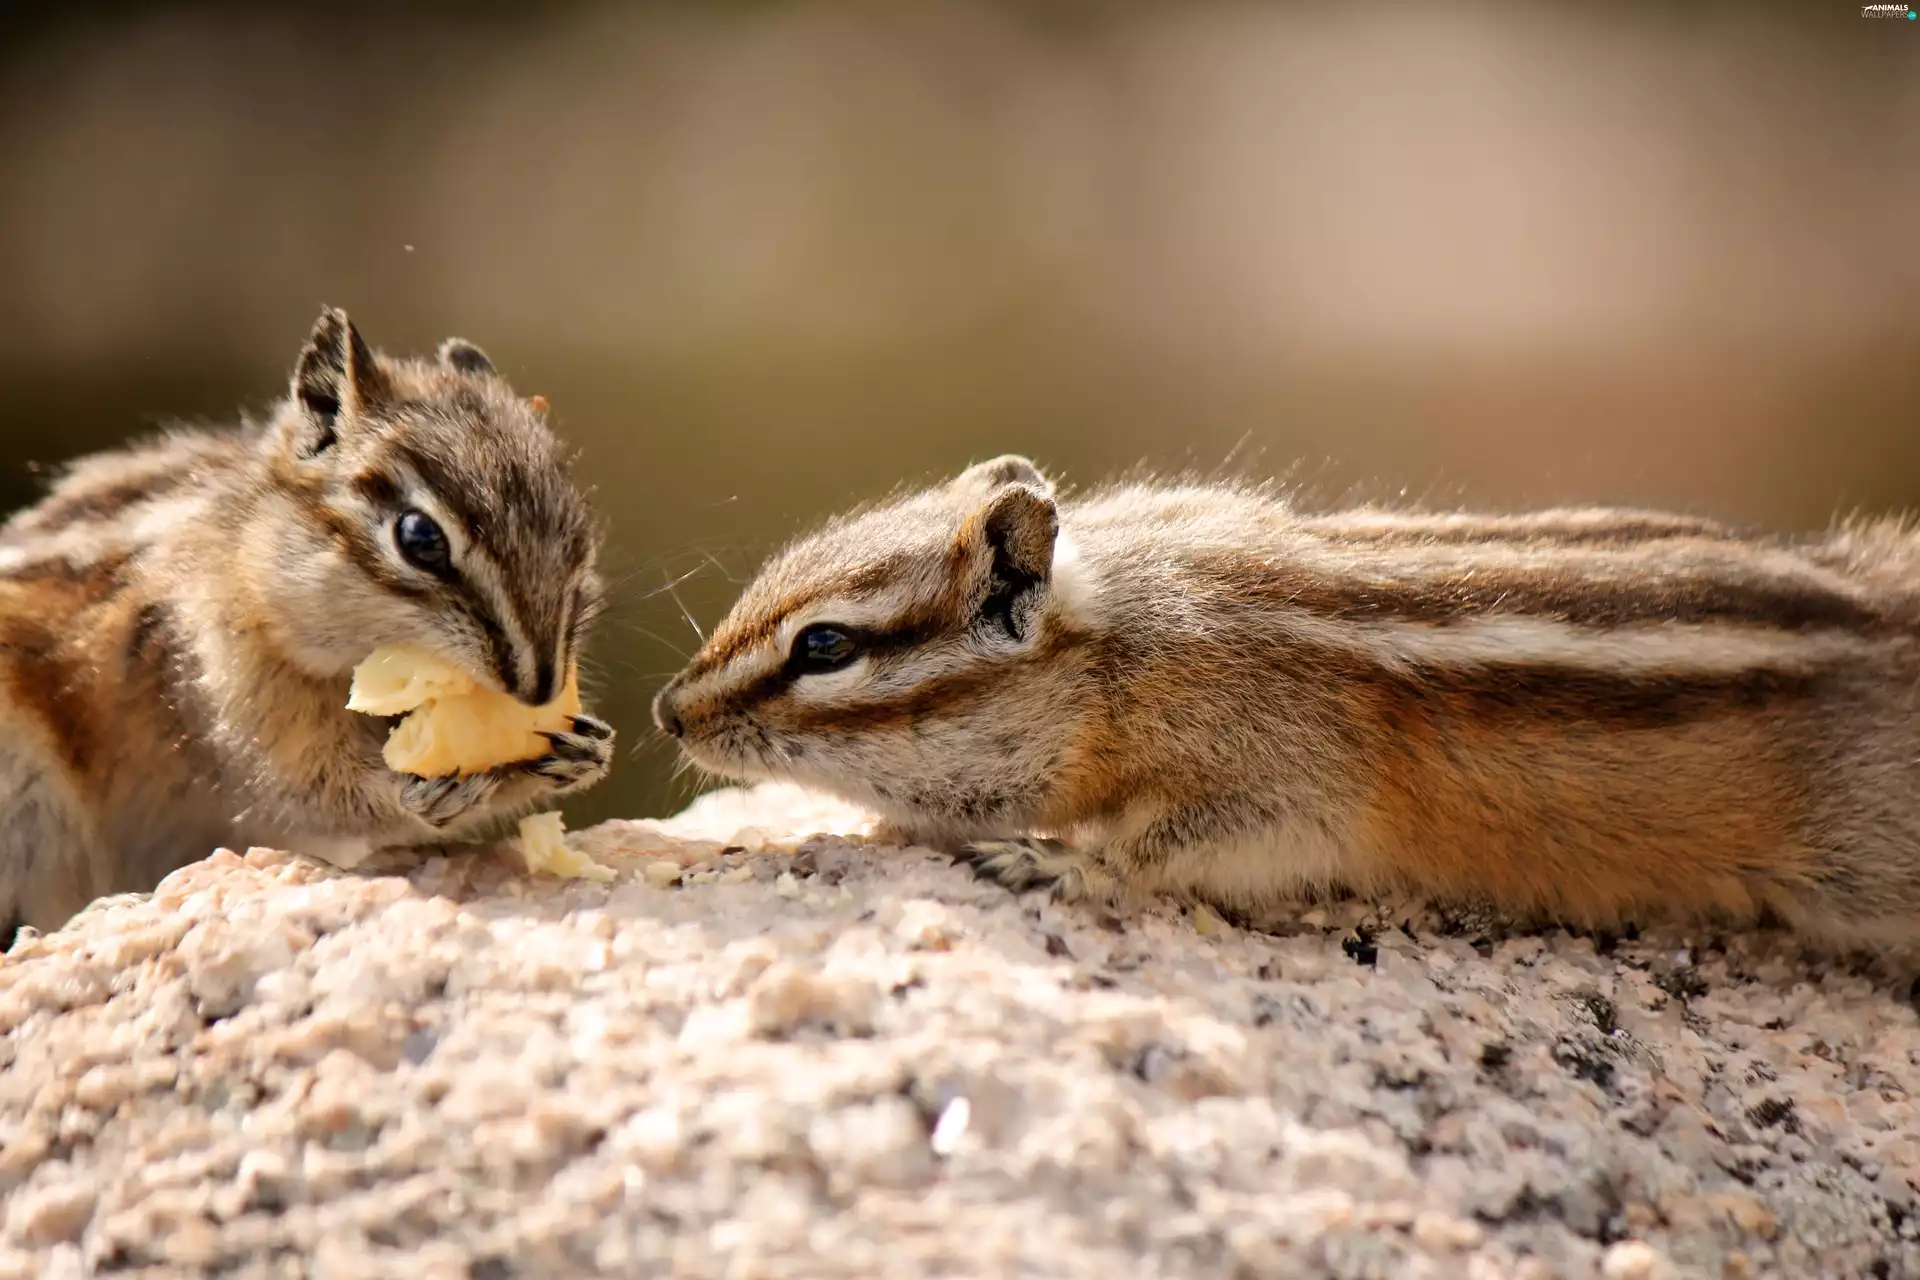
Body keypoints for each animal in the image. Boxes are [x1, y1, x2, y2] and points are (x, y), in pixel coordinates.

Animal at [0, 307, 614, 944]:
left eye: (580, 540)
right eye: (420, 538)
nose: (541, 688)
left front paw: (587, 748)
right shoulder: (229, 690)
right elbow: (318, 794)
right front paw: (417, 793)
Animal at [654, 454, 1920, 951]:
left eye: (824, 645)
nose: (669, 710)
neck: (1118, 646)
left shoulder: (1282, 768)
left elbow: (1203, 839)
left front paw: (1064, 860)